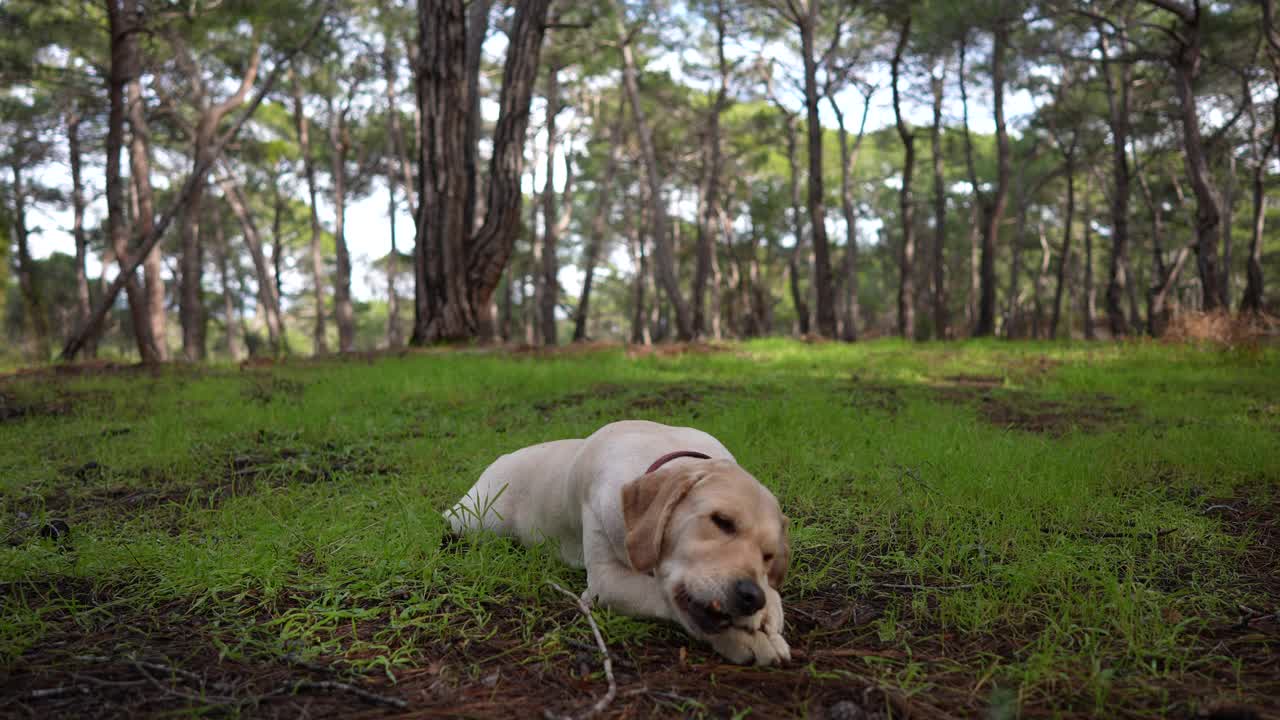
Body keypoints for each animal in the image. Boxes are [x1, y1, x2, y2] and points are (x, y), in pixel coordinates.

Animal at [448, 420, 788, 661]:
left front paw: (769, 614)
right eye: (721, 521)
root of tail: (502, 457)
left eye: (769, 556)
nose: (751, 596)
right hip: (477, 517)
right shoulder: (606, 581)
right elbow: (664, 596)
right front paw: (745, 640)